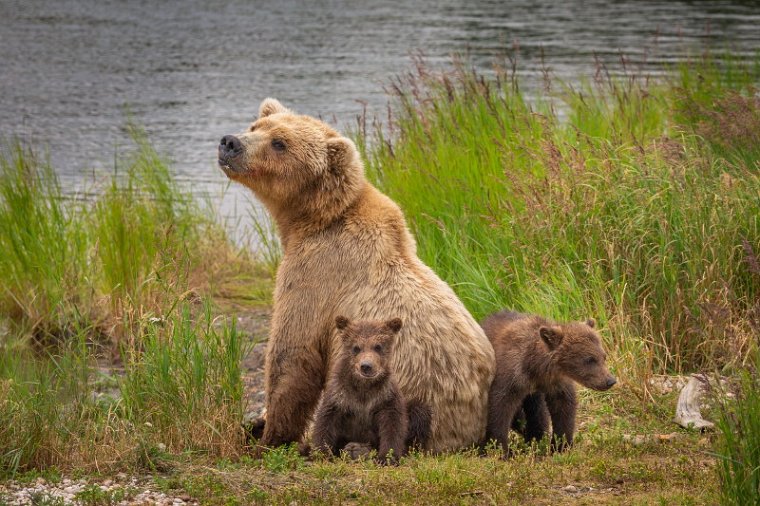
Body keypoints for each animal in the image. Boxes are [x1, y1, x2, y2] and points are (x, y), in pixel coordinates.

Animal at [217, 99, 496, 450]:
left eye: (280, 143)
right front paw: (259, 425)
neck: (311, 219)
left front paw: (270, 436)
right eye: (256, 126)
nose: (230, 142)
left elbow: (293, 355)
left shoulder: (316, 273)